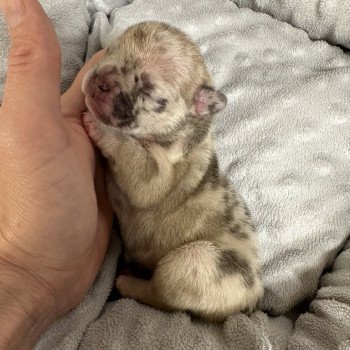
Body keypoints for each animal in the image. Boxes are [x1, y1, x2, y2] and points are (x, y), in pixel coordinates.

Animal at [82, 21, 262, 322]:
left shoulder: (152, 175)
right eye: (109, 51)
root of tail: (252, 302)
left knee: (163, 298)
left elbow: (128, 150)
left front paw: (100, 128)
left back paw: (128, 283)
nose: (101, 80)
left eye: (149, 94)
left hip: (191, 262)